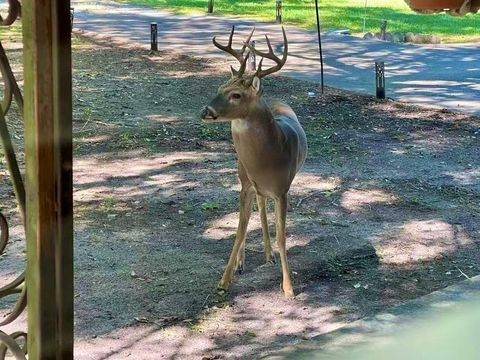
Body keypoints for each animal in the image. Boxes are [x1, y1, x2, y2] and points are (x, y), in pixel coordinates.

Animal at [200, 26, 308, 298]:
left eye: (236, 95)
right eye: (219, 87)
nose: (206, 111)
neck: (267, 160)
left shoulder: (282, 190)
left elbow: (282, 236)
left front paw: (288, 287)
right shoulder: (247, 184)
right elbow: (239, 231)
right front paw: (224, 280)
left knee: (262, 208)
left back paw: (269, 255)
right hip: (243, 178)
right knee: (254, 210)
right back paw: (245, 261)